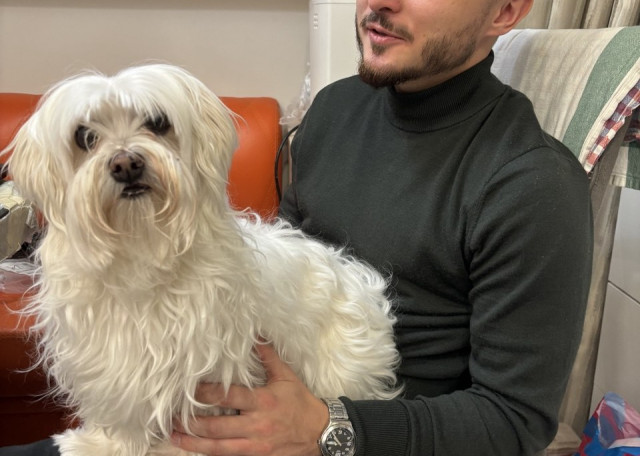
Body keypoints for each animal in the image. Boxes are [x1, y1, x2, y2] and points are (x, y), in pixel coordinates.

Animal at [5, 64, 400, 455]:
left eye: (158, 122)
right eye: (84, 136)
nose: (126, 163)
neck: (142, 249)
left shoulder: (209, 365)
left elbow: (193, 417)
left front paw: (178, 449)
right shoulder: (110, 360)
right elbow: (124, 415)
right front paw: (103, 443)